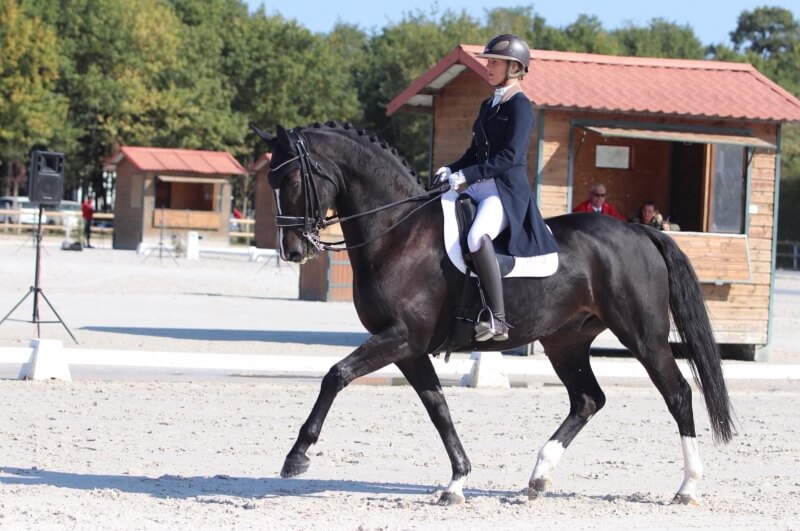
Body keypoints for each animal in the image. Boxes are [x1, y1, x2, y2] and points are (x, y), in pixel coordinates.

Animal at [252, 121, 735, 506]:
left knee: (678, 393)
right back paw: (538, 478)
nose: (292, 251)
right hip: (565, 340)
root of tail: (638, 231)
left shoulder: (401, 337)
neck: (398, 234)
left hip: (642, 334)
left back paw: (687, 487)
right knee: (587, 399)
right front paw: (456, 482)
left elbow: (336, 375)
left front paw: (297, 456)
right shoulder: (410, 349)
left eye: (291, 178)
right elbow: (438, 408)